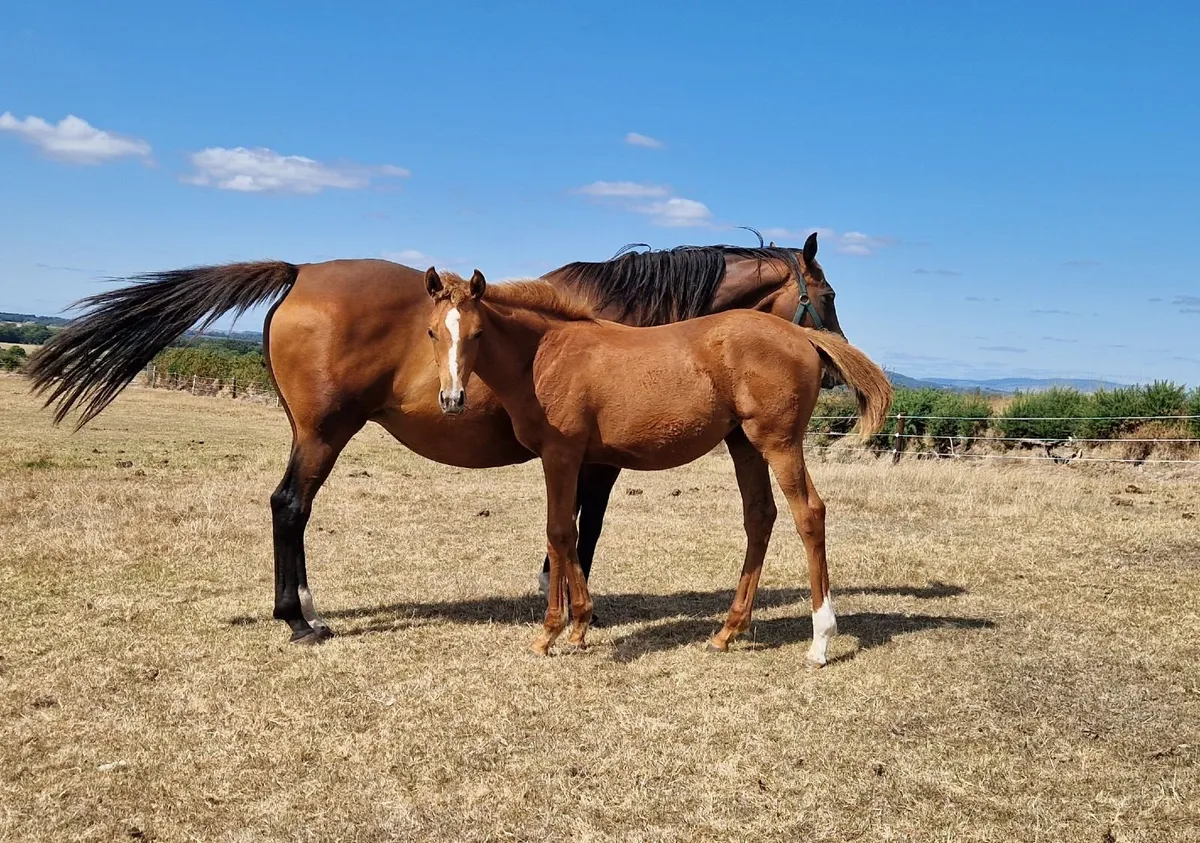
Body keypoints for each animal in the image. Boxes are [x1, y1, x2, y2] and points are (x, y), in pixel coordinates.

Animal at [27, 234, 845, 645]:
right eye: (829, 296)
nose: (834, 368)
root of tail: (300, 270)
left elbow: (571, 531)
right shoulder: (594, 462)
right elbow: (582, 531)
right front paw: (570, 606)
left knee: (290, 509)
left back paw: (306, 605)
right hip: (324, 432)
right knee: (290, 506)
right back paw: (299, 621)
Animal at [422, 268, 891, 664]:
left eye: (477, 333)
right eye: (431, 332)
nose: (452, 400)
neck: (545, 355)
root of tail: (800, 334)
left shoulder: (560, 455)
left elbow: (558, 534)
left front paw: (550, 632)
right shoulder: (579, 461)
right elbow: (572, 534)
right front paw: (579, 626)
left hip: (779, 443)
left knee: (808, 514)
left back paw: (820, 642)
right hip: (744, 444)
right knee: (760, 517)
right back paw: (727, 632)